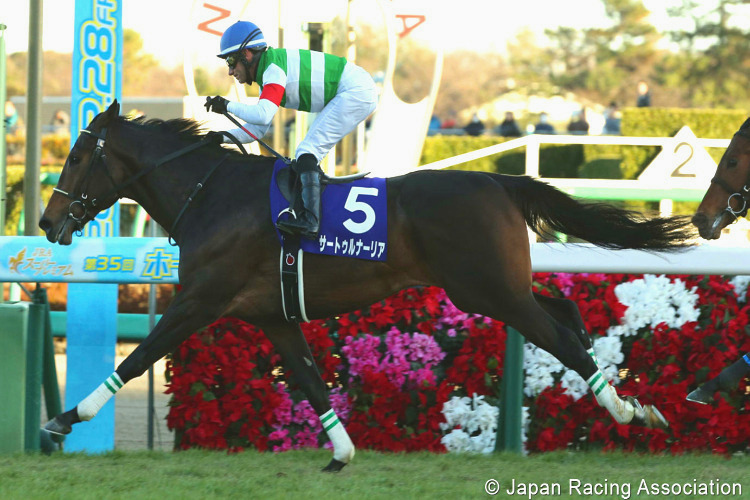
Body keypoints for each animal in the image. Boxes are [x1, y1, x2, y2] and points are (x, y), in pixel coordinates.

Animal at [42, 100, 700, 468]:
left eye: (74, 157)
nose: (48, 223)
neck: (212, 194)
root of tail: (501, 182)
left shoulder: (202, 299)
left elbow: (139, 356)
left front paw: (64, 420)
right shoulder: (270, 315)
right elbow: (310, 380)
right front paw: (342, 453)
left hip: (486, 290)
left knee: (556, 334)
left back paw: (628, 408)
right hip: (496, 286)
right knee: (564, 310)